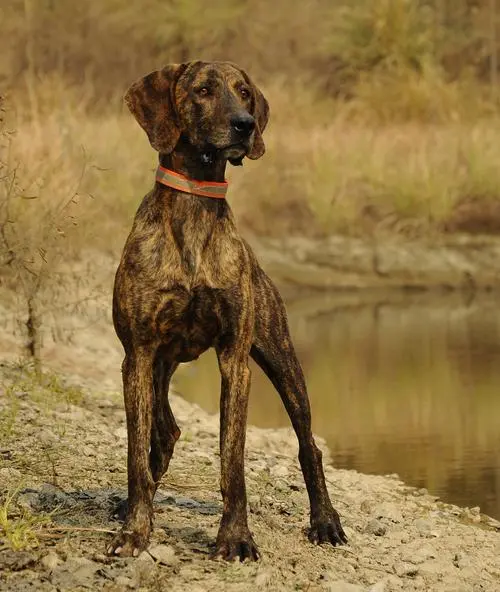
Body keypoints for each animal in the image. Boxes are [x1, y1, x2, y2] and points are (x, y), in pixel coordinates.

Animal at [108, 60, 346, 560]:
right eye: (202, 90)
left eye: (244, 93)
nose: (245, 124)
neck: (196, 203)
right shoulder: (137, 355)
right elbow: (136, 453)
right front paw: (135, 530)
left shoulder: (235, 360)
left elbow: (232, 458)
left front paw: (235, 537)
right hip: (158, 368)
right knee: (163, 431)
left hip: (283, 360)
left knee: (309, 446)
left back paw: (325, 521)